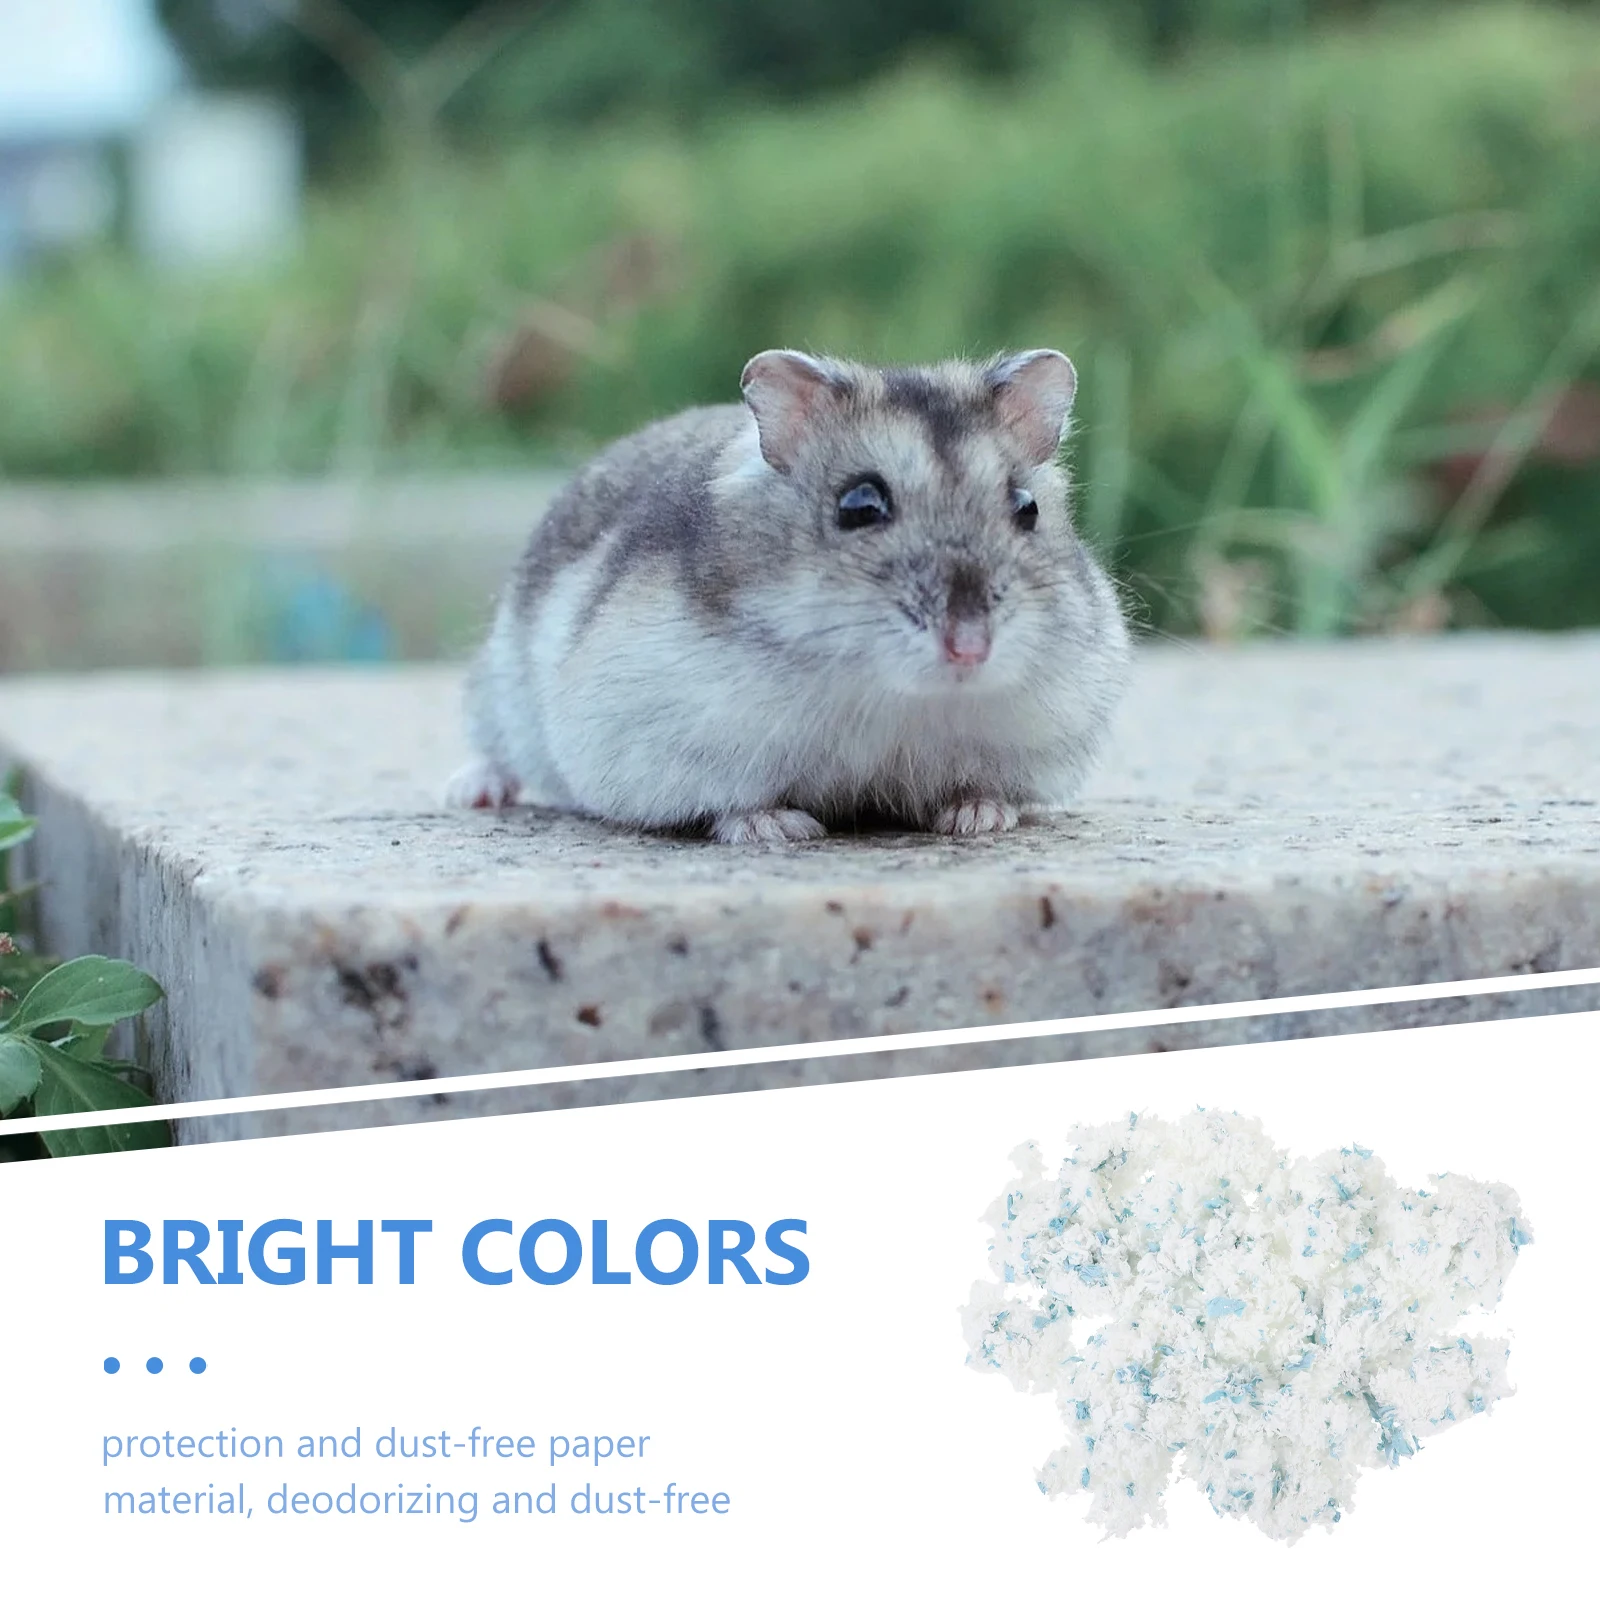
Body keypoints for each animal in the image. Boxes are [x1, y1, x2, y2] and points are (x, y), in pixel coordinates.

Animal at [447, 348, 1131, 842]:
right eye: (860, 505)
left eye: (1027, 507)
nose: (970, 649)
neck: (889, 696)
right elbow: (729, 804)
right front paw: (782, 829)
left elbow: (983, 789)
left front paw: (979, 818)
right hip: (499, 685)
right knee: (493, 749)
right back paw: (471, 793)